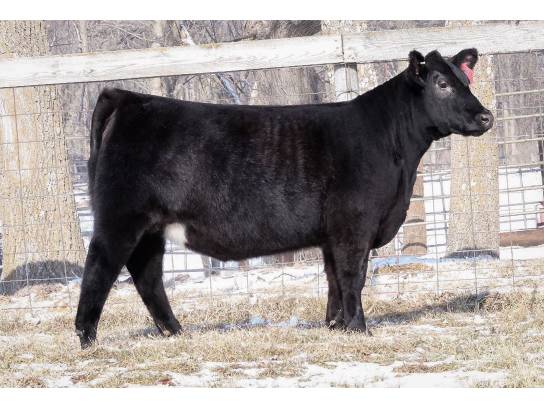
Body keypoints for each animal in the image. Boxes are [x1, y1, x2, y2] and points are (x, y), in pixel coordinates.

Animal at [75, 48, 494, 348]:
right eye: (441, 83)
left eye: (466, 79)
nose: (486, 117)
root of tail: (126, 97)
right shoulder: (354, 225)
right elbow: (353, 276)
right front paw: (360, 328)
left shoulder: (332, 233)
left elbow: (333, 279)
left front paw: (336, 326)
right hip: (120, 217)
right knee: (99, 269)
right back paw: (87, 340)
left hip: (151, 228)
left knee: (147, 276)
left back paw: (175, 332)